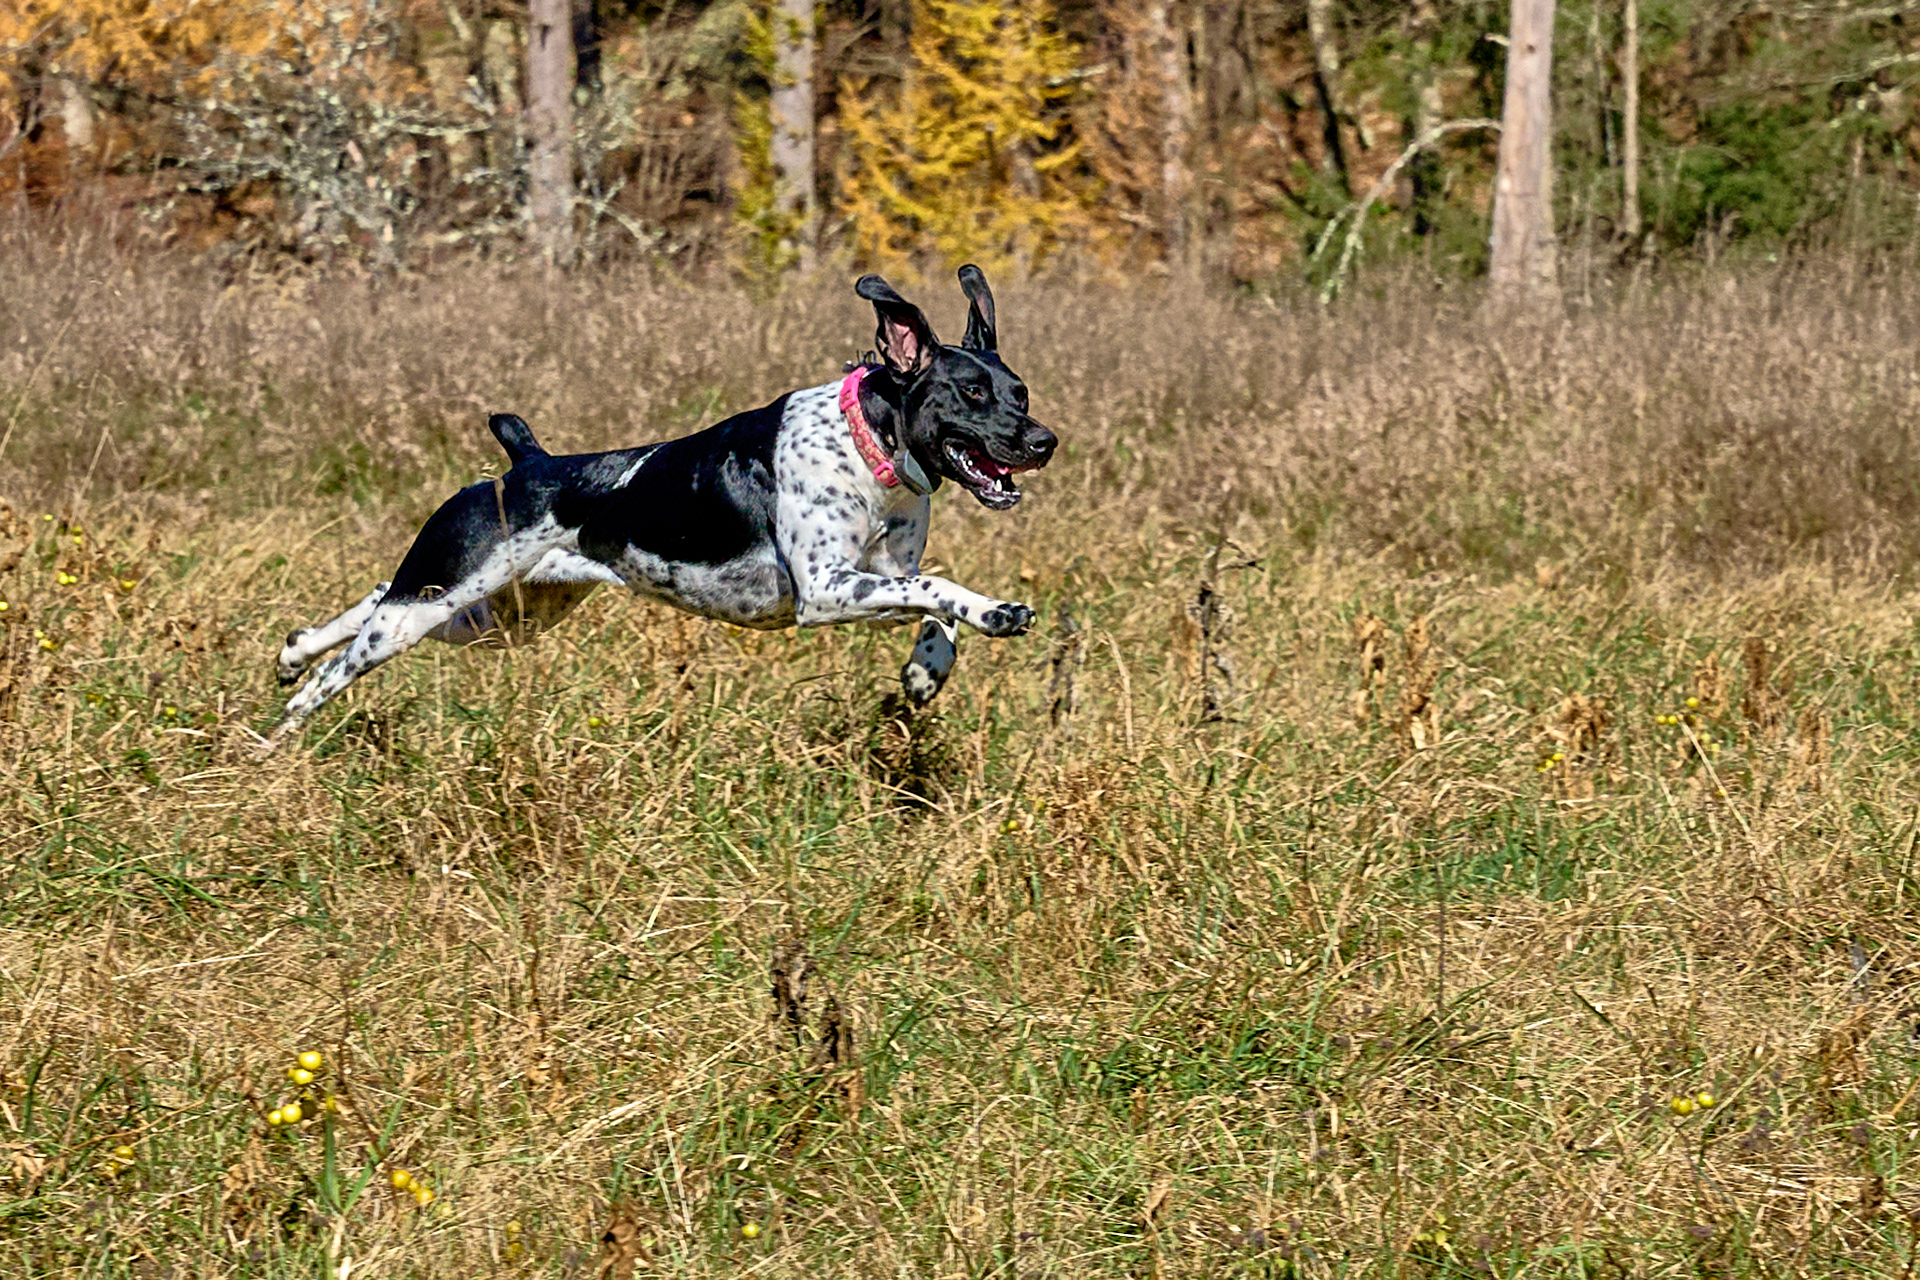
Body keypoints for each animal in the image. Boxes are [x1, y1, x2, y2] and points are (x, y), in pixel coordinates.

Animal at [263, 266, 1057, 752]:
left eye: (1020, 393)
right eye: (972, 394)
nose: (1044, 441)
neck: (867, 447)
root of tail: (527, 464)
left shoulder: (877, 579)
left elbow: (931, 607)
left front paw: (929, 669)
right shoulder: (826, 590)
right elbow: (940, 586)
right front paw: (998, 611)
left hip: (491, 615)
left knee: (375, 595)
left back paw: (293, 651)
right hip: (442, 597)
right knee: (347, 659)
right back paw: (284, 725)